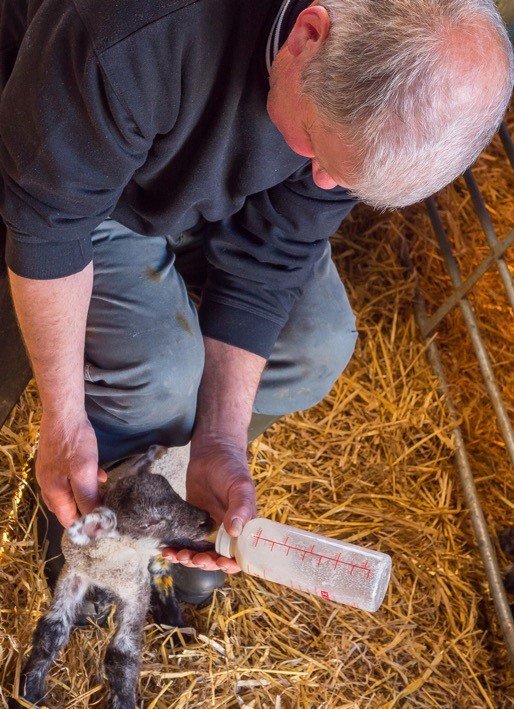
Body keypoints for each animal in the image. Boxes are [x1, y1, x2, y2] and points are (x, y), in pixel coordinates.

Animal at [11, 442, 214, 708]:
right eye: (146, 524)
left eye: (173, 491)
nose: (208, 521)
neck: (107, 561)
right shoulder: (73, 573)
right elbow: (52, 630)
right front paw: (29, 692)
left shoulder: (136, 590)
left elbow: (122, 654)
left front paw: (123, 700)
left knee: (160, 568)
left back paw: (173, 619)